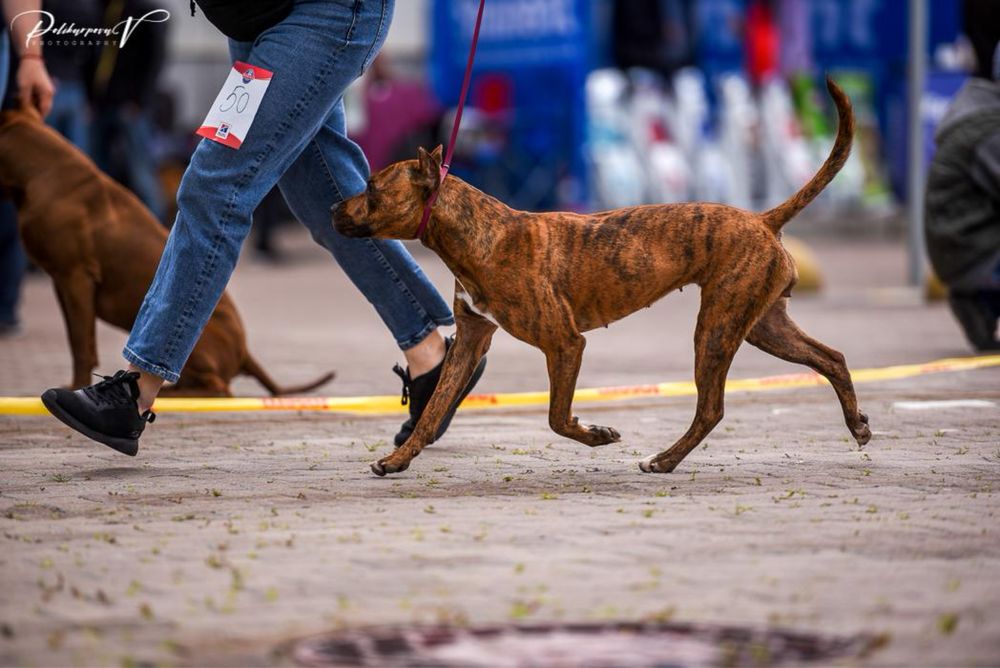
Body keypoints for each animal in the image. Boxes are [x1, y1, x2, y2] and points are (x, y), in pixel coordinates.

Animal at [0, 105, 336, 396]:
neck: (41, 171)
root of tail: (244, 352)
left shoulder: (76, 278)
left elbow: (82, 346)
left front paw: (77, 387)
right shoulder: (63, 283)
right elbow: (77, 340)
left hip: (197, 346)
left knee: (218, 388)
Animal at [334, 78, 868, 474]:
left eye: (373, 188)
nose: (336, 208)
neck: (481, 234)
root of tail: (762, 220)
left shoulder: (565, 344)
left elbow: (556, 416)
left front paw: (597, 435)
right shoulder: (470, 339)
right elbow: (433, 411)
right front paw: (398, 459)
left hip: (717, 328)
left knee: (712, 407)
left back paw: (665, 460)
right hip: (761, 323)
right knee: (832, 357)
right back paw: (856, 423)